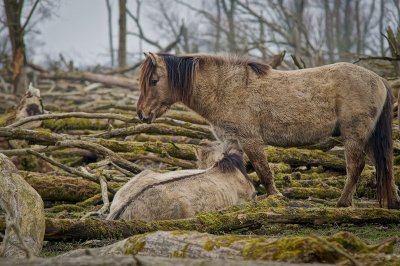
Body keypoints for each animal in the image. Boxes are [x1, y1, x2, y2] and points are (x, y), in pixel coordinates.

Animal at [137, 52, 400, 209]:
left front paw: (276, 198)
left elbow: (264, 171)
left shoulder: (250, 140)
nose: (141, 113)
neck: (225, 88)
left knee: (356, 166)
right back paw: (392, 201)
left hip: (354, 135)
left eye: (154, 81)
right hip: (369, 138)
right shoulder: (232, 142)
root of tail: (379, 79)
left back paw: (343, 203)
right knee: (383, 164)